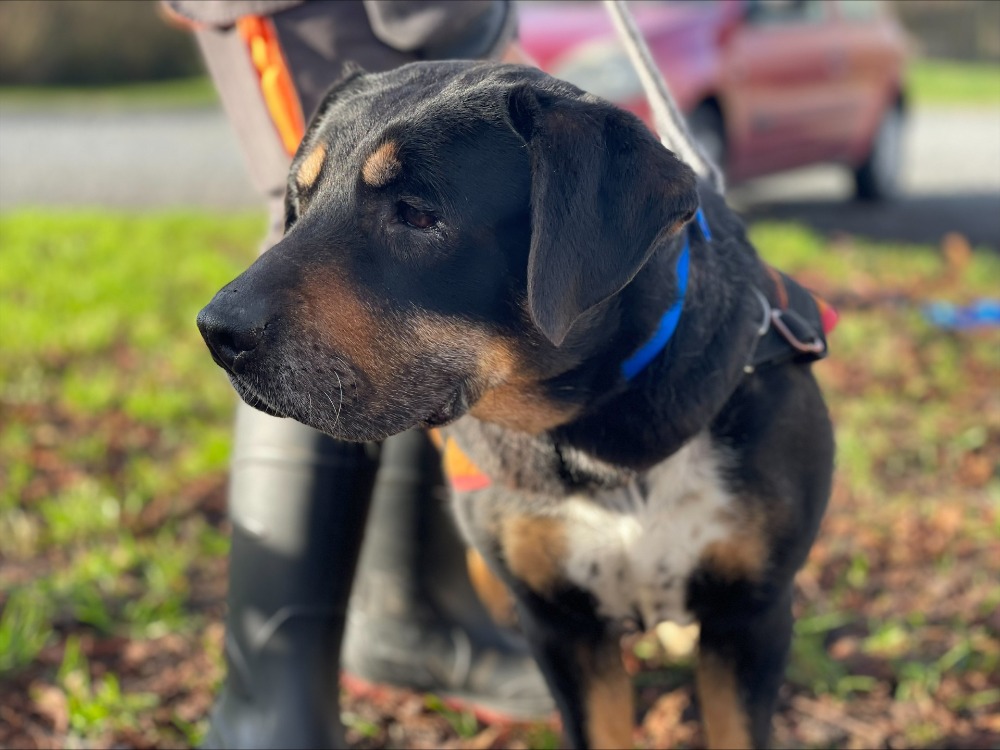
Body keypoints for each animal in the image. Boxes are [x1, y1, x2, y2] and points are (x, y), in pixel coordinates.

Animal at [197, 61, 834, 749]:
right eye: (300, 203)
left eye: (418, 214)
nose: (217, 332)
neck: (596, 433)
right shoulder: (562, 625)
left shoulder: (751, 615)